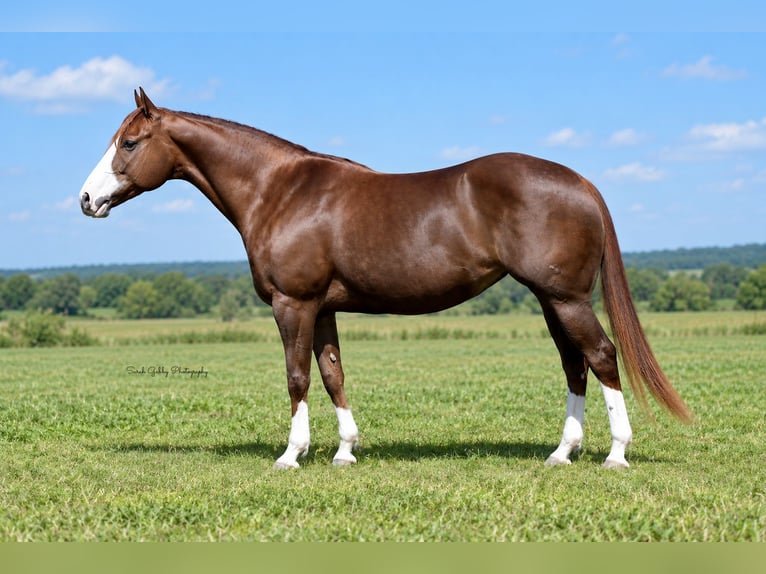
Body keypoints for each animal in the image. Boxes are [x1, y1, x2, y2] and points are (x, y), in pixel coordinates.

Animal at [79, 88, 691, 469]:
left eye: (129, 143)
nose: (86, 199)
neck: (279, 191)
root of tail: (581, 183)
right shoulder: (323, 307)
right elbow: (333, 374)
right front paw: (345, 451)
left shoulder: (293, 304)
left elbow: (297, 377)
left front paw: (291, 455)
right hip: (551, 299)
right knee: (575, 365)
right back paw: (563, 453)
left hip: (566, 299)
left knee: (603, 357)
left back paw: (616, 453)